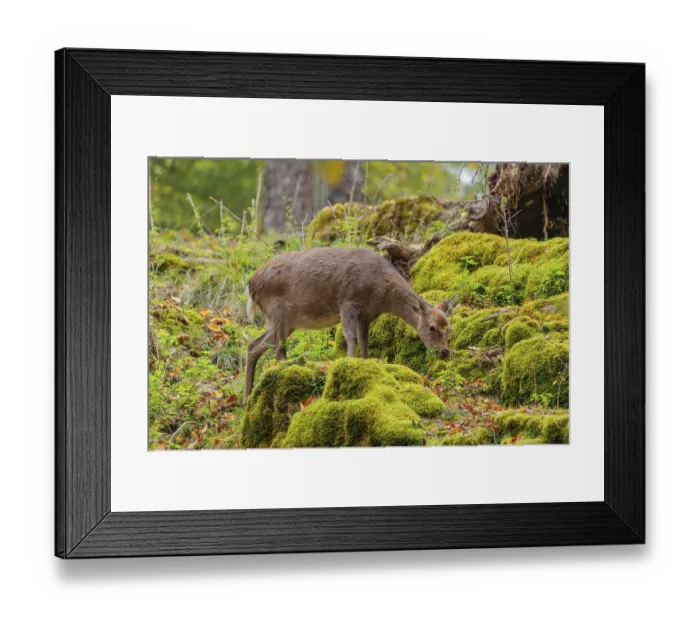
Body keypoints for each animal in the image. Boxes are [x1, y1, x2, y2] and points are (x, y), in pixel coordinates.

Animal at [244, 247, 451, 402]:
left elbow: (364, 341)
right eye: (432, 327)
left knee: (254, 345)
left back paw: (247, 398)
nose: (445, 352)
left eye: (448, 329)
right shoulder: (347, 300)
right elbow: (350, 336)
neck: (379, 292)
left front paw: (366, 363)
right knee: (278, 349)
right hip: (279, 311)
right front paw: (348, 363)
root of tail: (251, 285)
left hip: (285, 321)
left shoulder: (367, 313)